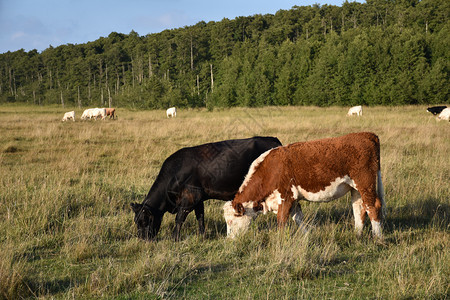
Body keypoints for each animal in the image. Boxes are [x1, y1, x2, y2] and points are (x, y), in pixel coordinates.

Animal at [128, 137, 282, 240]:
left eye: (145, 221)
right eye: (136, 221)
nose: (142, 239)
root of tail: (273, 140)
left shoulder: (190, 198)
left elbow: (179, 219)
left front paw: (175, 238)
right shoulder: (198, 199)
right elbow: (200, 217)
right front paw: (202, 236)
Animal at [227, 131, 384, 239]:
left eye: (231, 221)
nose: (230, 240)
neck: (270, 169)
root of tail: (366, 134)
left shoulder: (285, 197)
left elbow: (281, 221)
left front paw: (280, 241)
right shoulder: (294, 199)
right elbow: (298, 218)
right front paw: (306, 235)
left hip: (365, 183)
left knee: (372, 207)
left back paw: (378, 237)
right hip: (356, 188)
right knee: (359, 208)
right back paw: (357, 234)